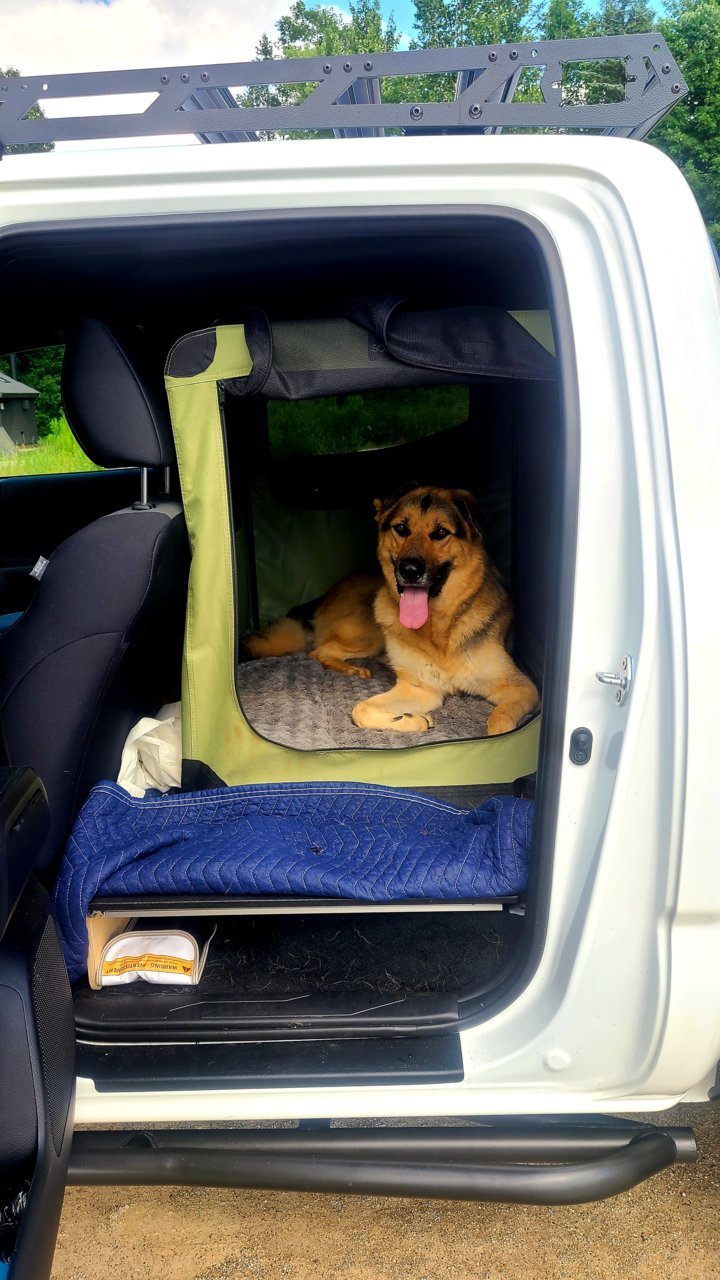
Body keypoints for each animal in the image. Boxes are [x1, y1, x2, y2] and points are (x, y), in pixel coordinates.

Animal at [243, 483, 535, 737]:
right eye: (401, 528)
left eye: (441, 532)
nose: (410, 571)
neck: (439, 630)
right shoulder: (419, 688)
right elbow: (360, 709)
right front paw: (413, 720)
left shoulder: (522, 688)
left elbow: (500, 720)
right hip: (370, 633)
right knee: (320, 650)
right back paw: (352, 669)